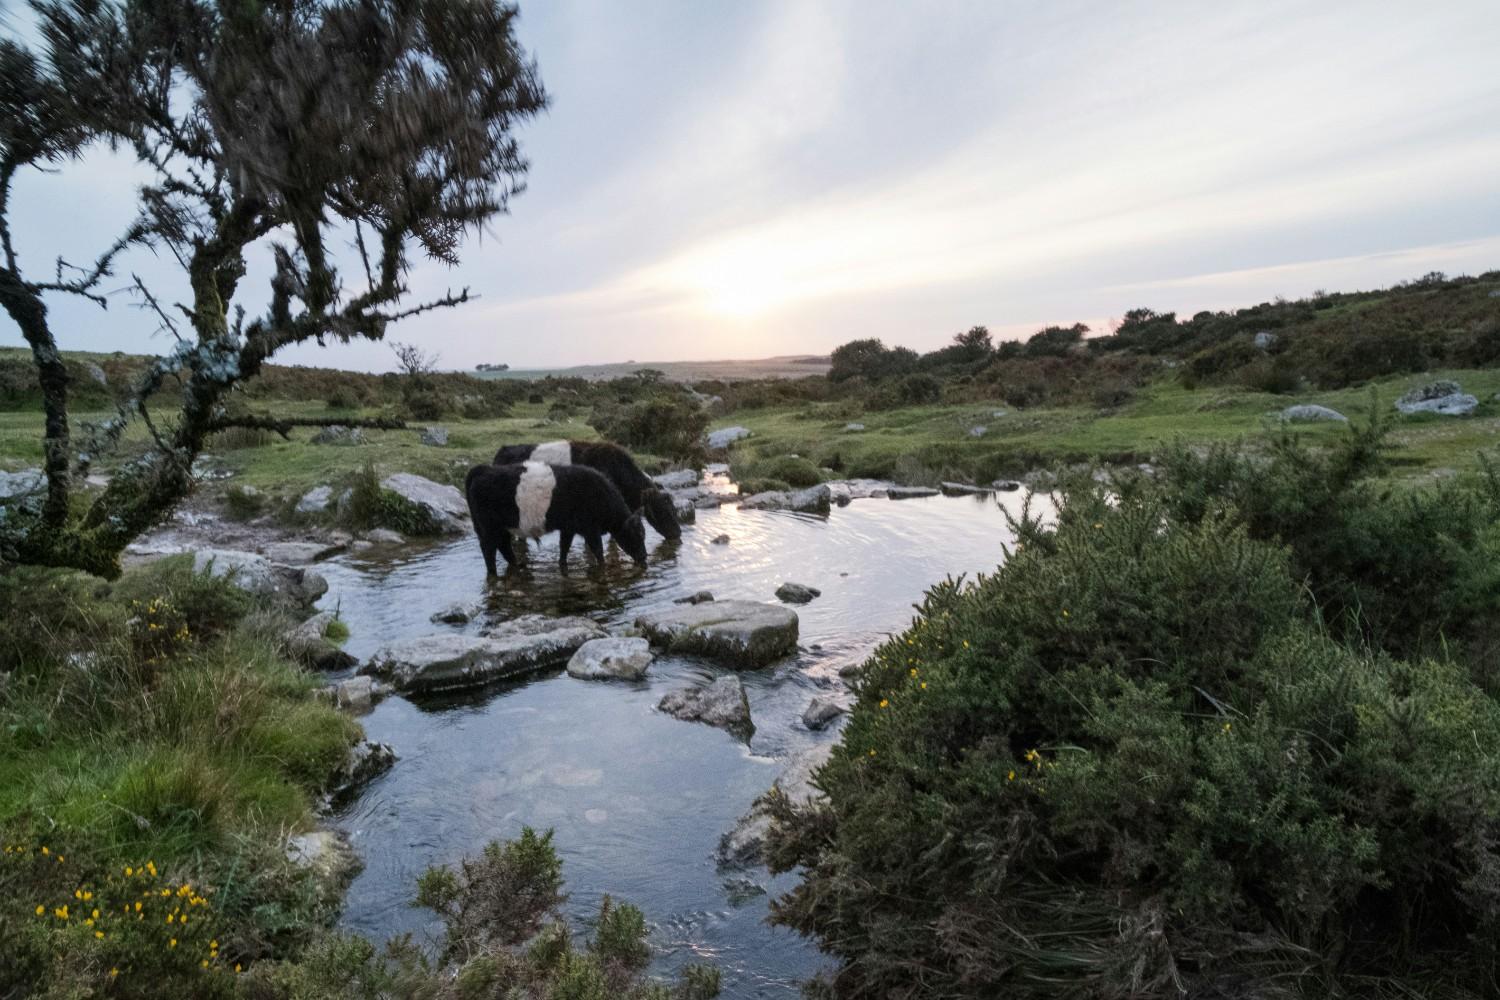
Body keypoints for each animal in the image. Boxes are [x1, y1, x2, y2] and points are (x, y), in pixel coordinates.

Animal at [465, 464, 648, 575]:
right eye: (637, 534)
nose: (644, 556)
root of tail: (483, 469)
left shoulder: (568, 528)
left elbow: (564, 548)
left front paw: (563, 565)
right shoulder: (590, 530)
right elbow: (598, 551)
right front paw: (602, 568)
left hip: (501, 528)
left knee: (504, 547)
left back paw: (516, 566)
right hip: (489, 528)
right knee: (489, 550)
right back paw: (493, 572)